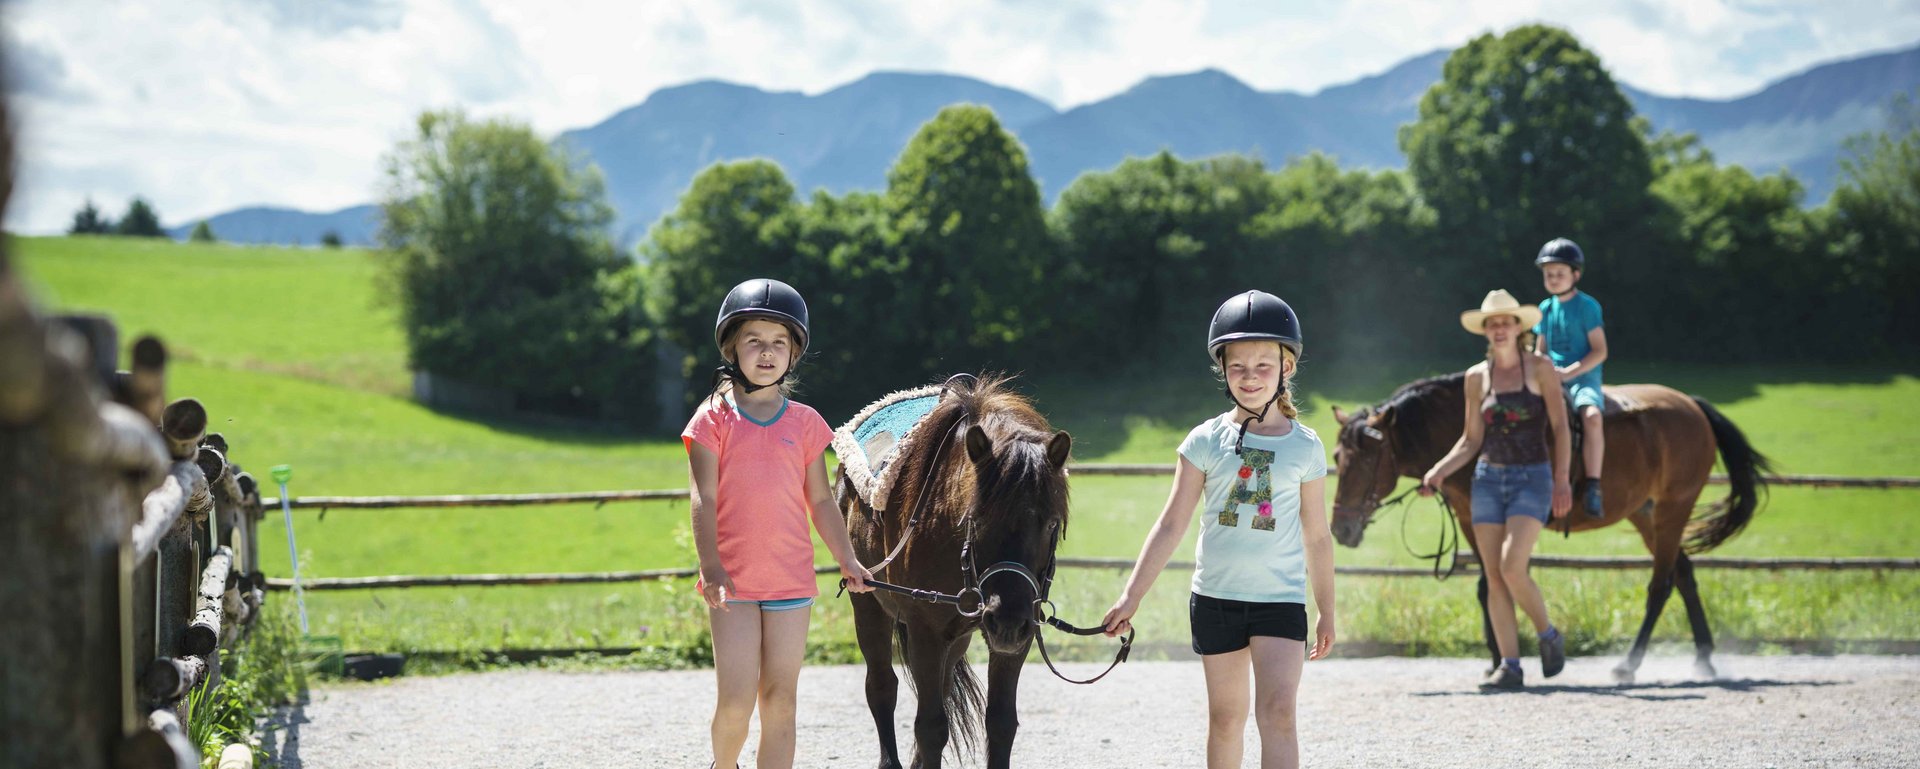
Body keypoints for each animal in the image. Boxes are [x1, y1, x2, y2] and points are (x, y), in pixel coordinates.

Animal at [840, 373, 1082, 767]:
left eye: (1050, 524)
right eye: (977, 519)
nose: (1007, 618)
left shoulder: (1018, 636)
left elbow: (1000, 723)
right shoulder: (925, 631)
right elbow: (930, 726)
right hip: (869, 607)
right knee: (881, 687)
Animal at [1336, 373, 1766, 678]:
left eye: (1367, 458)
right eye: (1339, 457)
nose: (1340, 528)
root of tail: (1692, 405)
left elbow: (1498, 582)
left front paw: (1510, 658)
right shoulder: (1472, 518)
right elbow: (1487, 586)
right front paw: (1497, 661)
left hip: (1672, 510)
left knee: (1660, 585)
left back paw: (1629, 664)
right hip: (1647, 515)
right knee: (1684, 574)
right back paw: (1704, 659)